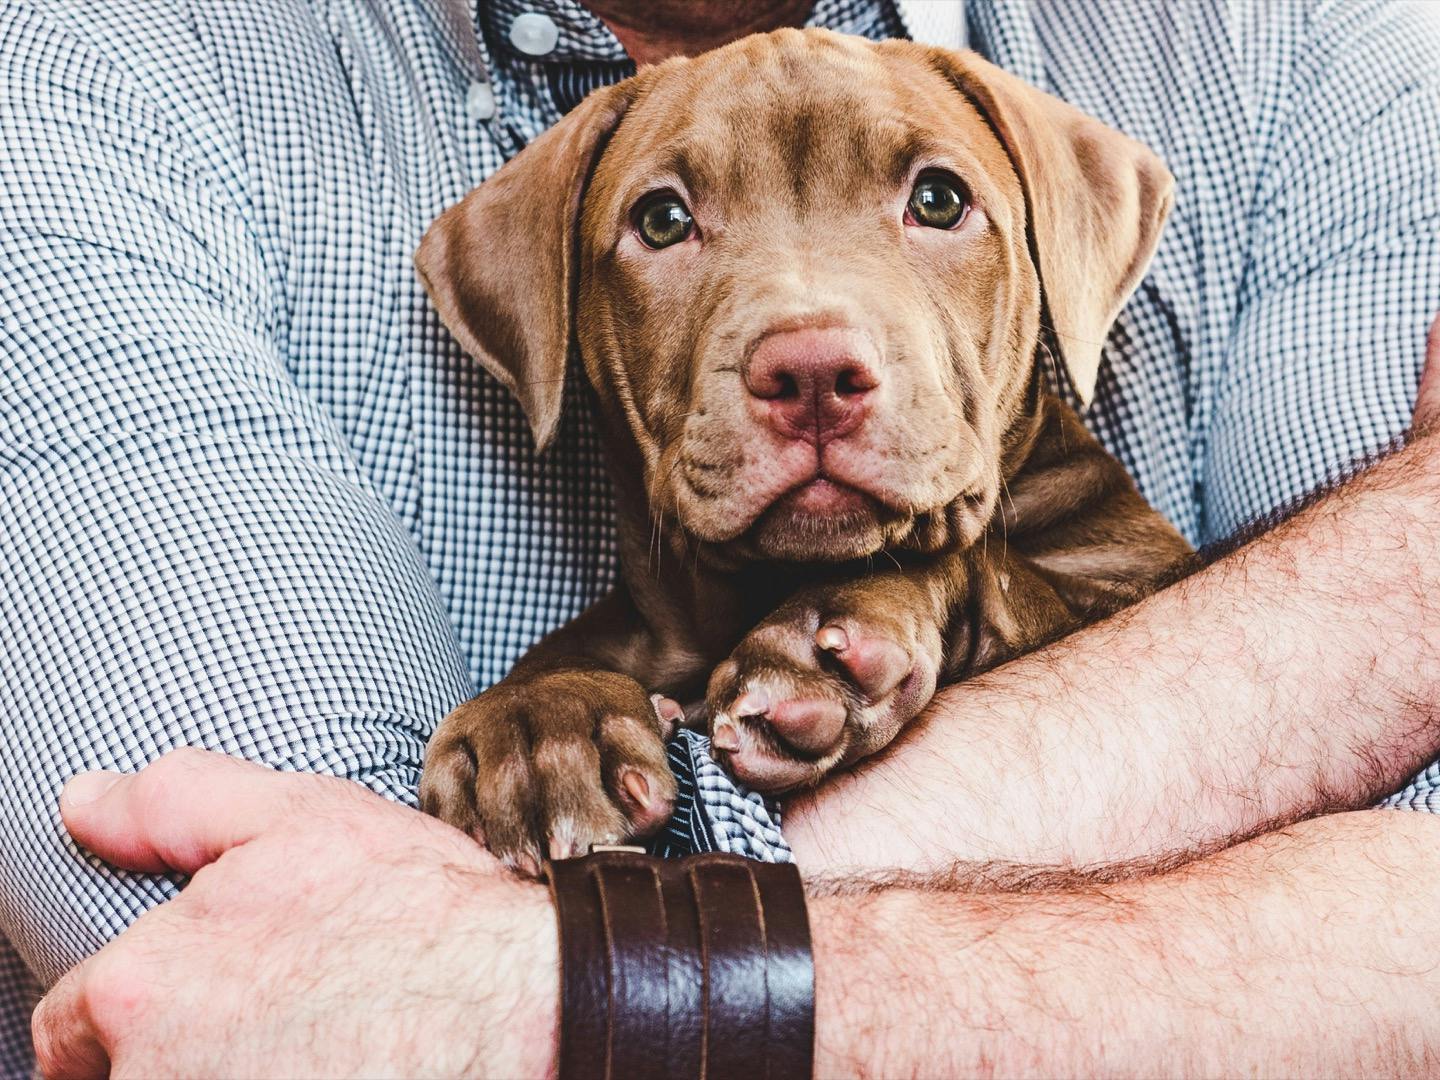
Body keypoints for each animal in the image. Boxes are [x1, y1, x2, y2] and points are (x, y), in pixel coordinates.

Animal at [414, 29, 1192, 875]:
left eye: (939, 201)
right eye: (662, 219)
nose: (813, 371)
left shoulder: (1128, 574)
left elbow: (1000, 571)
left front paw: (821, 644)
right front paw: (537, 721)